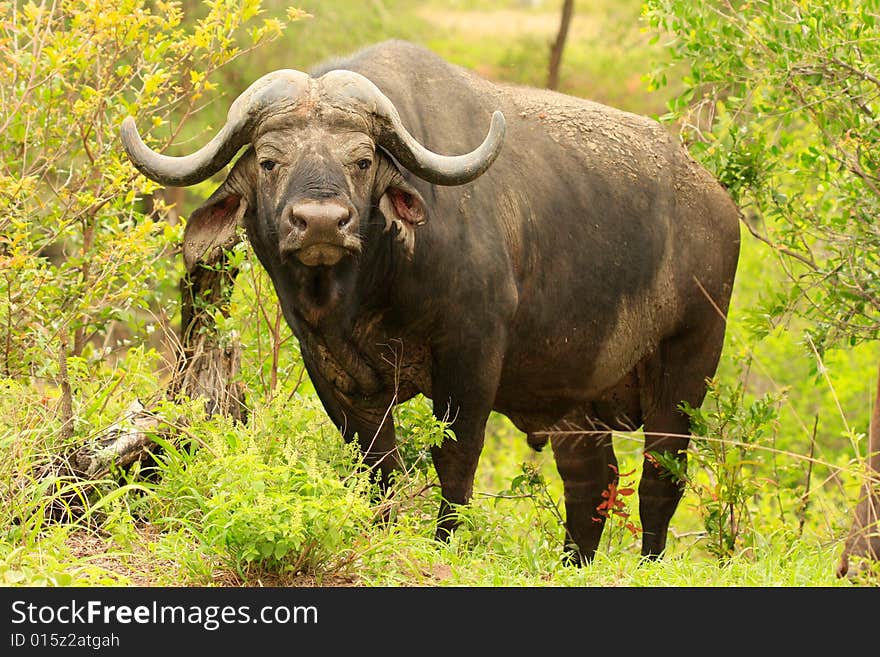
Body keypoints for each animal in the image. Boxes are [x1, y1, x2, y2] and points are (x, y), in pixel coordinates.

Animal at [122, 41, 744, 564]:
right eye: (271, 161)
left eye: (362, 160)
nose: (321, 222)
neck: (366, 294)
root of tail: (717, 203)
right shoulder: (332, 368)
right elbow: (374, 463)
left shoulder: (471, 355)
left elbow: (456, 457)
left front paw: (444, 543)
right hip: (573, 397)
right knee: (593, 479)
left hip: (688, 363)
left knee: (662, 473)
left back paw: (649, 562)